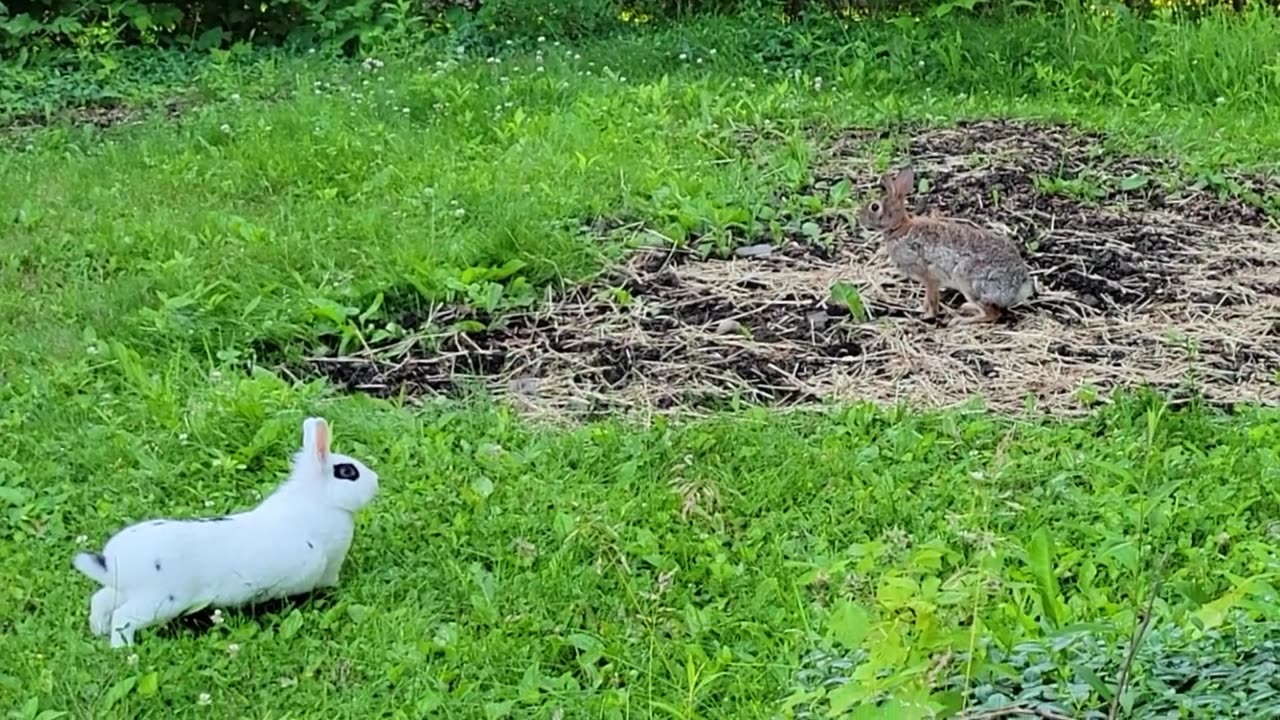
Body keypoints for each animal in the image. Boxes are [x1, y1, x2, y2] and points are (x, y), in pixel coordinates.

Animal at [73, 415, 378, 645]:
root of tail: (114, 561)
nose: (376, 481)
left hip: (126, 591)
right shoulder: (329, 568)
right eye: (348, 472)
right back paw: (123, 651)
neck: (320, 499)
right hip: (161, 599)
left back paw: (97, 631)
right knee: (123, 619)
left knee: (100, 601)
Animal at [860, 166, 1029, 324]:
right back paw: (967, 308)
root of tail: (1018, 285)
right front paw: (921, 309)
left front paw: (928, 315)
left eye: (874, 207)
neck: (899, 229)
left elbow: (932, 298)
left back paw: (961, 320)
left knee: (992, 314)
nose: (860, 217)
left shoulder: (928, 275)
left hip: (967, 281)